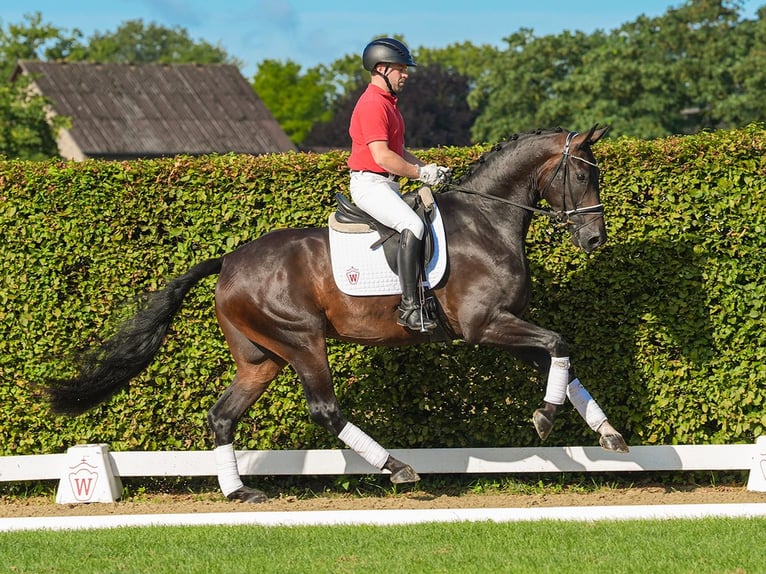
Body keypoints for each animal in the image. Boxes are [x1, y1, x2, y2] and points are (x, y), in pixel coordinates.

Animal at [43, 126, 632, 504]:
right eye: (583, 176)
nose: (595, 240)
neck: (488, 220)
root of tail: (229, 260)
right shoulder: (485, 327)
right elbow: (559, 344)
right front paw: (546, 418)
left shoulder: (508, 327)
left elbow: (562, 363)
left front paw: (607, 434)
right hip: (302, 340)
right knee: (324, 409)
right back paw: (397, 468)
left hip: (261, 358)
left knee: (223, 415)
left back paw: (240, 492)